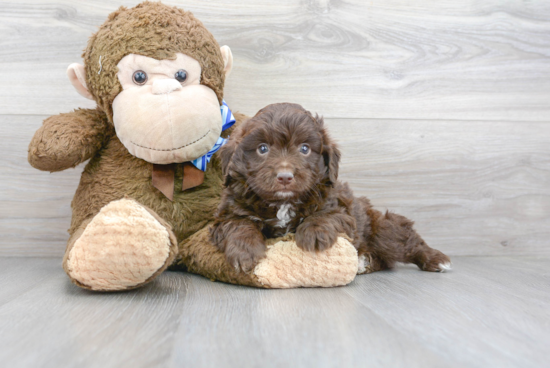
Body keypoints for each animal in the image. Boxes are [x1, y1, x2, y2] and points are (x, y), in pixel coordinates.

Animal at [212, 103, 452, 274]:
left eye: (305, 149)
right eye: (262, 149)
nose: (285, 176)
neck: (283, 202)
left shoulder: (342, 210)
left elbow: (325, 215)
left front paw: (314, 233)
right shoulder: (227, 214)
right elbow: (239, 223)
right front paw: (245, 251)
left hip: (382, 229)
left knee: (404, 241)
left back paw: (436, 259)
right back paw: (364, 261)